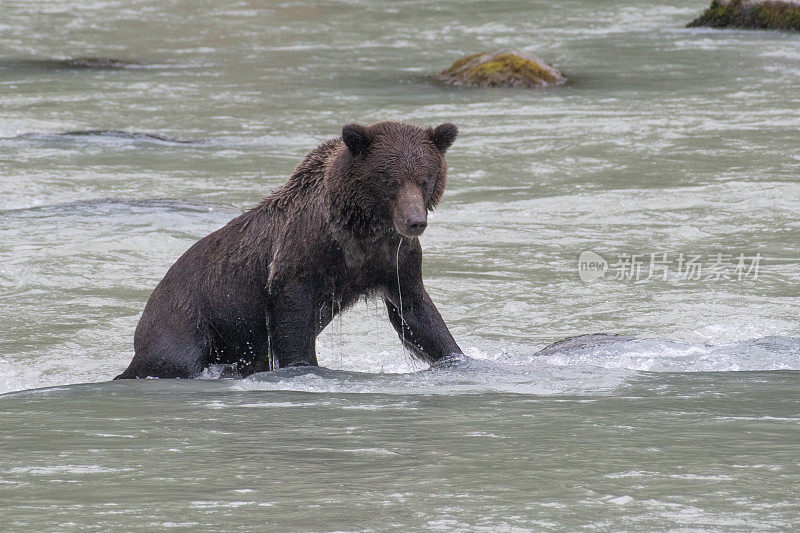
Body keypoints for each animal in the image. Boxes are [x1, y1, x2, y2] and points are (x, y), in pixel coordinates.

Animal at [113, 120, 462, 378]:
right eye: (389, 179)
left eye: (425, 179)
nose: (415, 221)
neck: (361, 230)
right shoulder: (301, 258)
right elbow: (293, 316)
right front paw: (303, 366)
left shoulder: (393, 260)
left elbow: (416, 314)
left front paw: (458, 358)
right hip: (187, 316)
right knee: (174, 358)